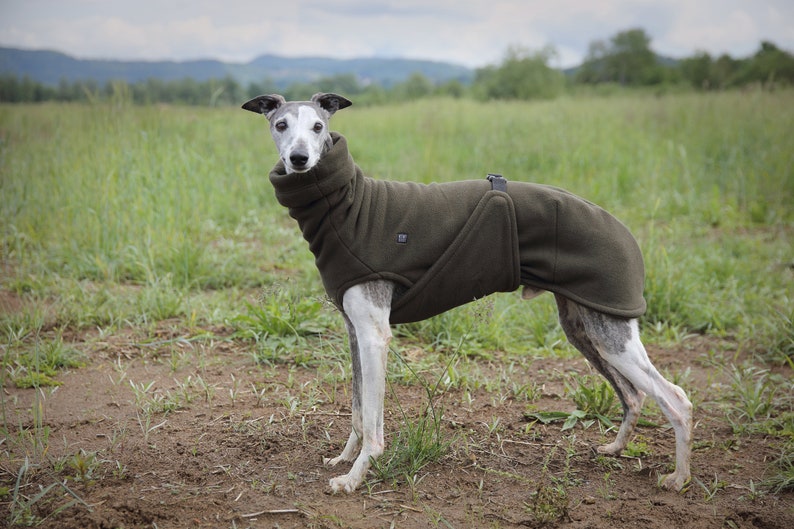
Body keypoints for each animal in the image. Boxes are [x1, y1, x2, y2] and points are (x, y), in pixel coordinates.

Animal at [241, 93, 692, 492]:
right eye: (281, 125)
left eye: (318, 127)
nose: (299, 159)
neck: (348, 206)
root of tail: (623, 230)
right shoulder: (355, 331)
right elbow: (356, 410)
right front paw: (344, 459)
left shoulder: (375, 336)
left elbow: (372, 422)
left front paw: (354, 479)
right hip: (584, 329)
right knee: (634, 395)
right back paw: (616, 449)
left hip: (611, 335)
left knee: (677, 400)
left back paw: (679, 479)